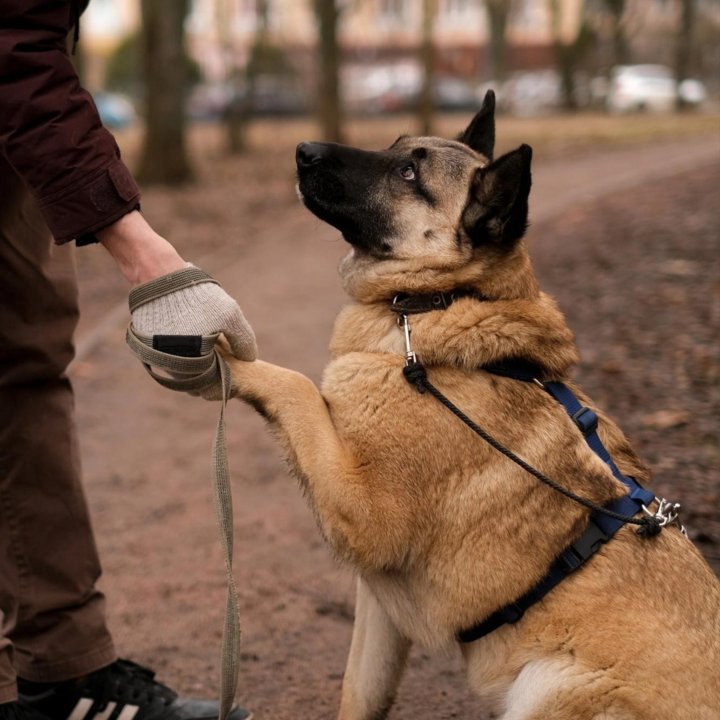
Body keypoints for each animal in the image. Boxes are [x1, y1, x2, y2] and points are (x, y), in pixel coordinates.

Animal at [219, 91, 720, 720]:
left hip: (546, 687)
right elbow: (359, 693)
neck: (440, 300)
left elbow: (296, 386)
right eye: (396, 148)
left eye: (409, 175)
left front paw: (219, 355)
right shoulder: (378, 608)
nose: (303, 149)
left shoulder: (364, 514)